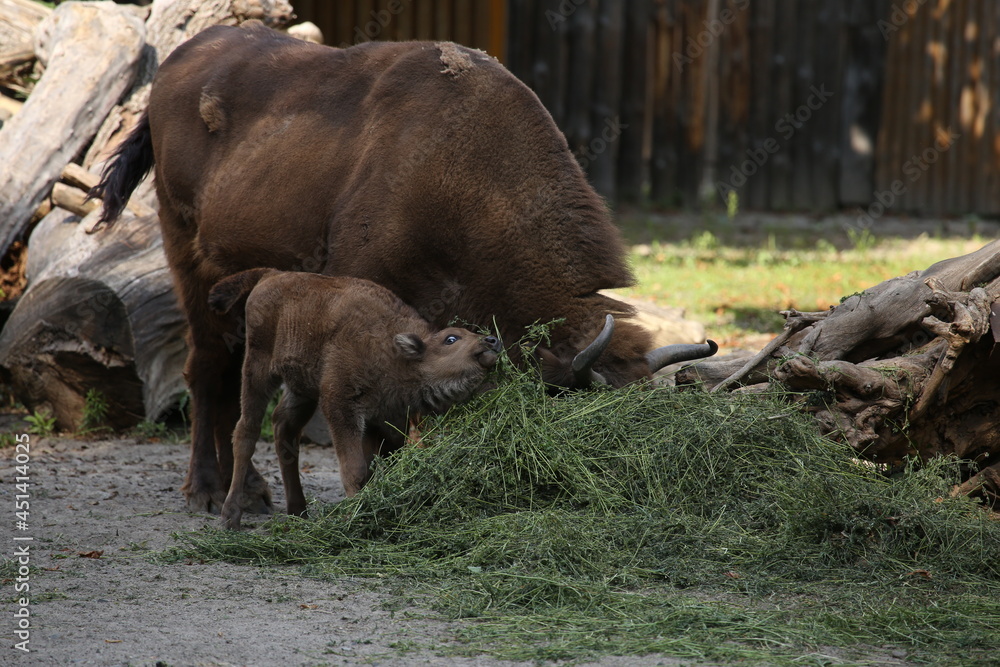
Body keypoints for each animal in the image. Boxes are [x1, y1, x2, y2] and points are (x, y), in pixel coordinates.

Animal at [92, 21, 716, 512]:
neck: (470, 178)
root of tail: (173, 69)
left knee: (232, 379)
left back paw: (249, 493)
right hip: (187, 257)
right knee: (206, 370)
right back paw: (206, 492)